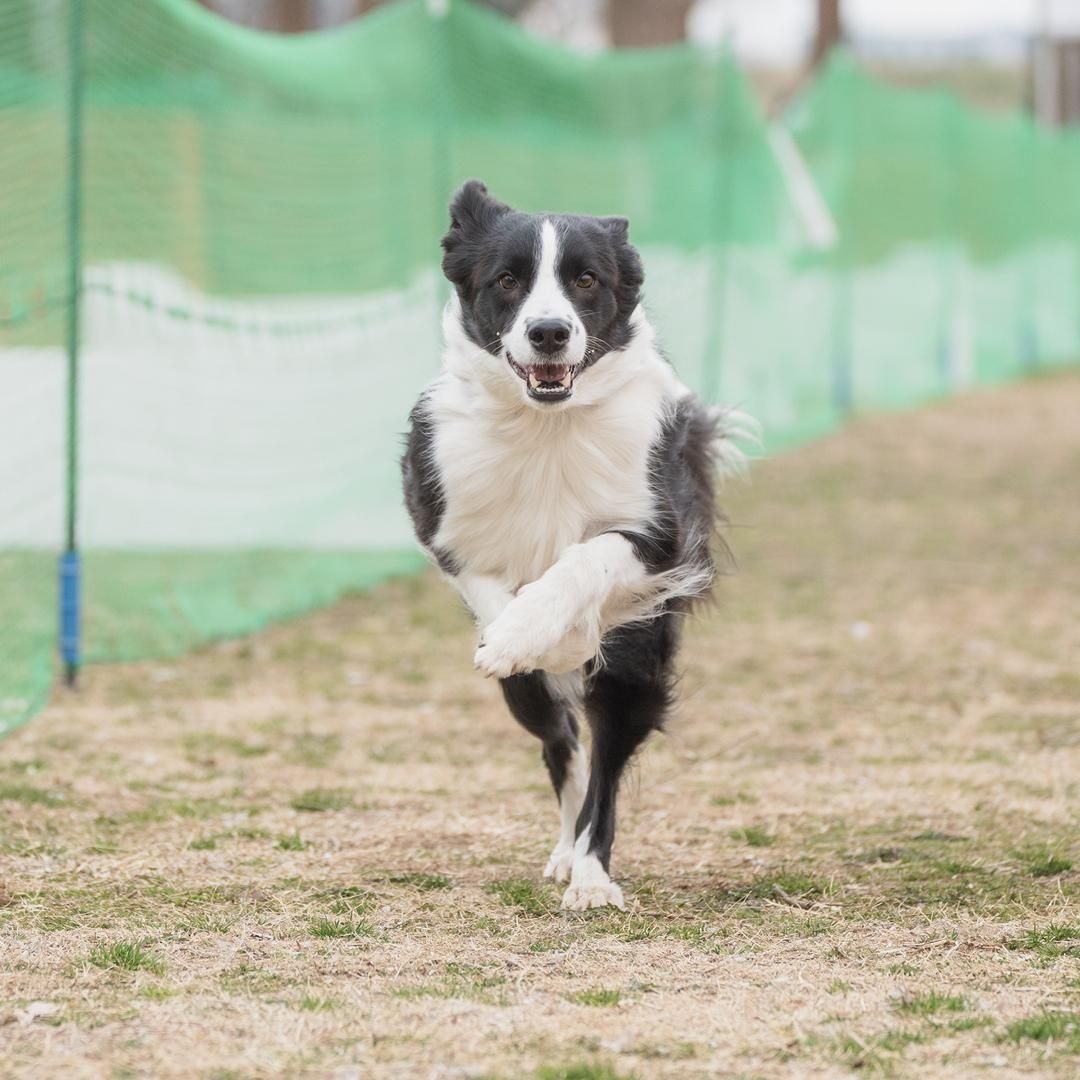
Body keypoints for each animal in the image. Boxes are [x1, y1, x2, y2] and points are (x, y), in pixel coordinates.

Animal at [401, 180, 751, 909]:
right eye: (507, 280)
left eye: (586, 279)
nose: (549, 332)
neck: (546, 427)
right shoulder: (441, 516)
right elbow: (490, 589)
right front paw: (516, 637)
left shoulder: (662, 531)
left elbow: (585, 558)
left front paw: (547, 629)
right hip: (528, 699)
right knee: (562, 745)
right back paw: (566, 852)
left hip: (638, 662)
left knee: (607, 758)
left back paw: (590, 874)